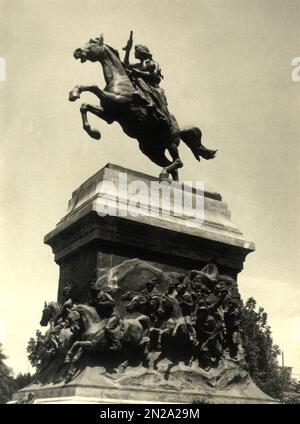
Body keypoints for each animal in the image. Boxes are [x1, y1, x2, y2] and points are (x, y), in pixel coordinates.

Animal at [69, 32, 216, 179]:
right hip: (151, 151)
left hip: (171, 142)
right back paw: (169, 179)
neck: (119, 79)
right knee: (173, 166)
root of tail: (180, 130)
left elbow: (93, 86)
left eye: (93, 42)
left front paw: (74, 94)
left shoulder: (119, 100)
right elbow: (84, 105)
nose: (77, 52)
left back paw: (164, 173)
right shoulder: (109, 114)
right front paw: (93, 132)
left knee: (178, 161)